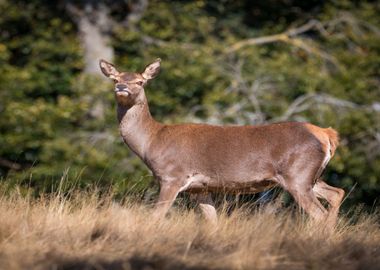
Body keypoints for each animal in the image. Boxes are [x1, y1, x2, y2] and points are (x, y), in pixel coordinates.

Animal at [98, 58, 344, 229]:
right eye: (116, 79)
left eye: (140, 81)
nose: (121, 88)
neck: (152, 140)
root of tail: (326, 134)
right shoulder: (199, 187)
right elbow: (212, 220)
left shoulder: (172, 176)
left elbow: (156, 216)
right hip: (309, 177)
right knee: (336, 193)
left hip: (297, 175)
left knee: (320, 214)